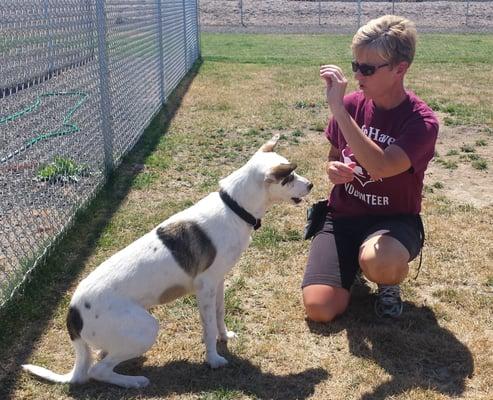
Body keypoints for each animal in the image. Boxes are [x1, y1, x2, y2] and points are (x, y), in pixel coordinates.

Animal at [23, 134, 312, 388]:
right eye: (289, 177)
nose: (311, 185)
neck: (234, 207)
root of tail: (72, 313)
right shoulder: (205, 288)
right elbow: (208, 328)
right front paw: (214, 359)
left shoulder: (218, 282)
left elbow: (219, 316)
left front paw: (225, 337)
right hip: (147, 328)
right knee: (97, 371)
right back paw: (133, 382)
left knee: (101, 359)